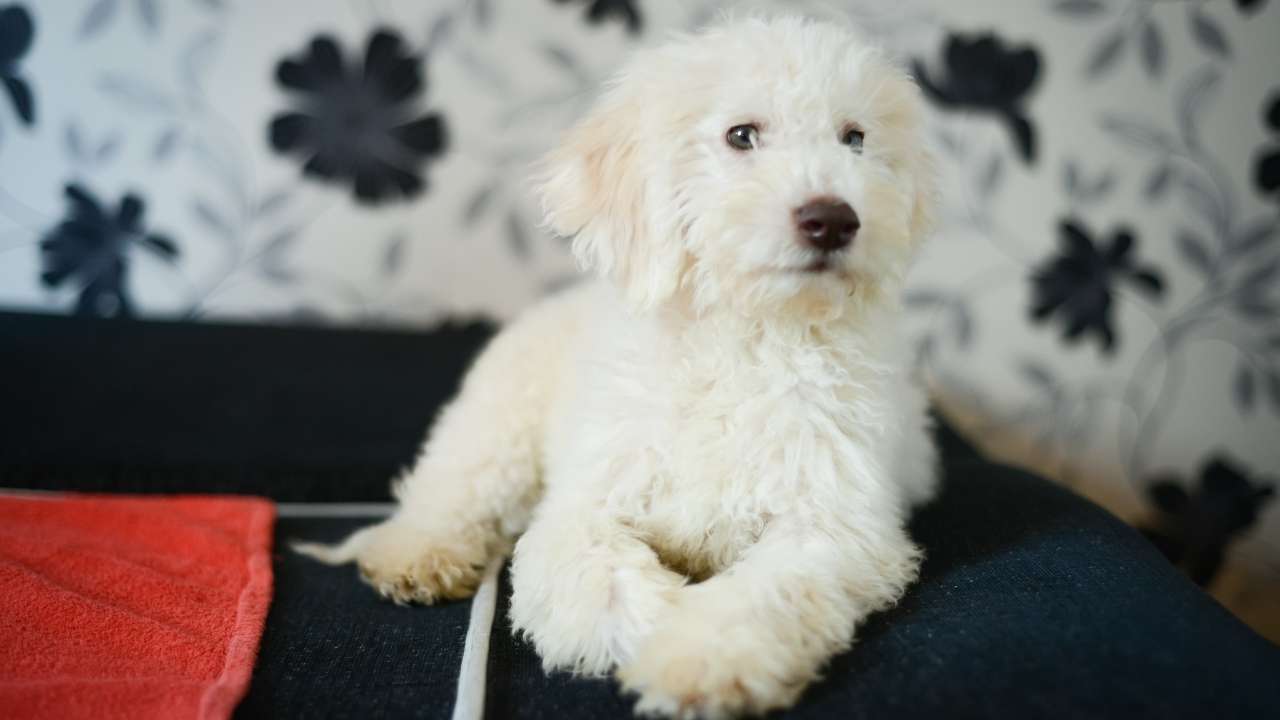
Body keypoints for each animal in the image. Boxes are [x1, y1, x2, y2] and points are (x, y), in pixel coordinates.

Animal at [299, 15, 942, 712]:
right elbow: (598, 576)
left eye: (855, 139)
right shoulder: (583, 507)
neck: (745, 336)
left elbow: (765, 591)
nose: (833, 219)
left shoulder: (832, 525)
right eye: (740, 135)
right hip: (496, 431)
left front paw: (701, 656)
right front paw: (663, 623)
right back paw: (418, 552)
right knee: (450, 490)